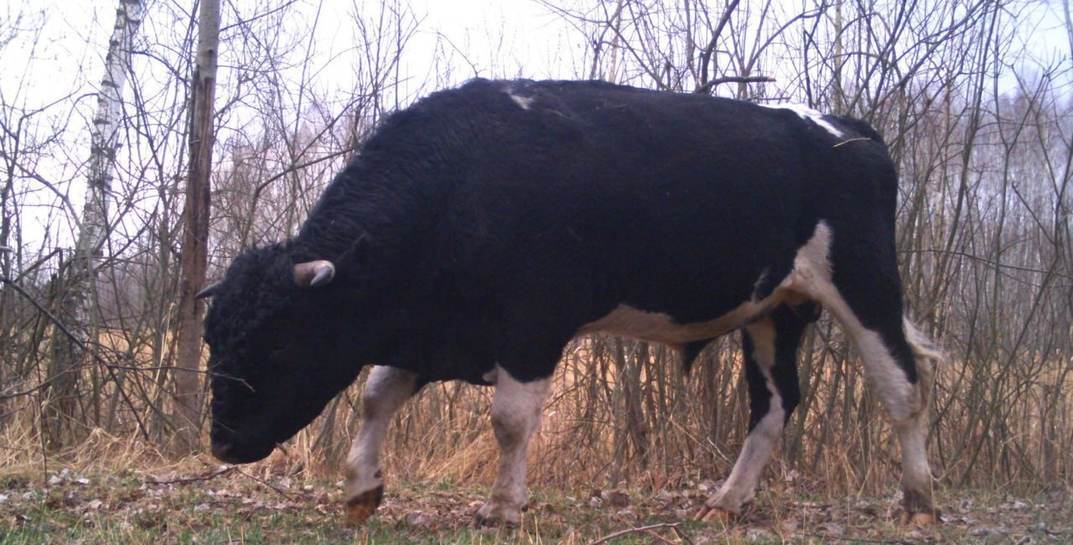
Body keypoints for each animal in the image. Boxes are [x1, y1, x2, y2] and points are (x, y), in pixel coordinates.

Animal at [197, 78, 944, 525]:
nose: (223, 441)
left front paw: (502, 508)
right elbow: (376, 396)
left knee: (902, 387)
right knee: (776, 402)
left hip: (866, 284)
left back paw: (916, 499)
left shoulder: (533, 325)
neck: (464, 181)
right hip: (771, 310)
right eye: (214, 338)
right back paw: (726, 502)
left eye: (278, 340)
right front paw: (360, 489)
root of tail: (844, 127)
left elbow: (508, 421)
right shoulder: (435, 327)